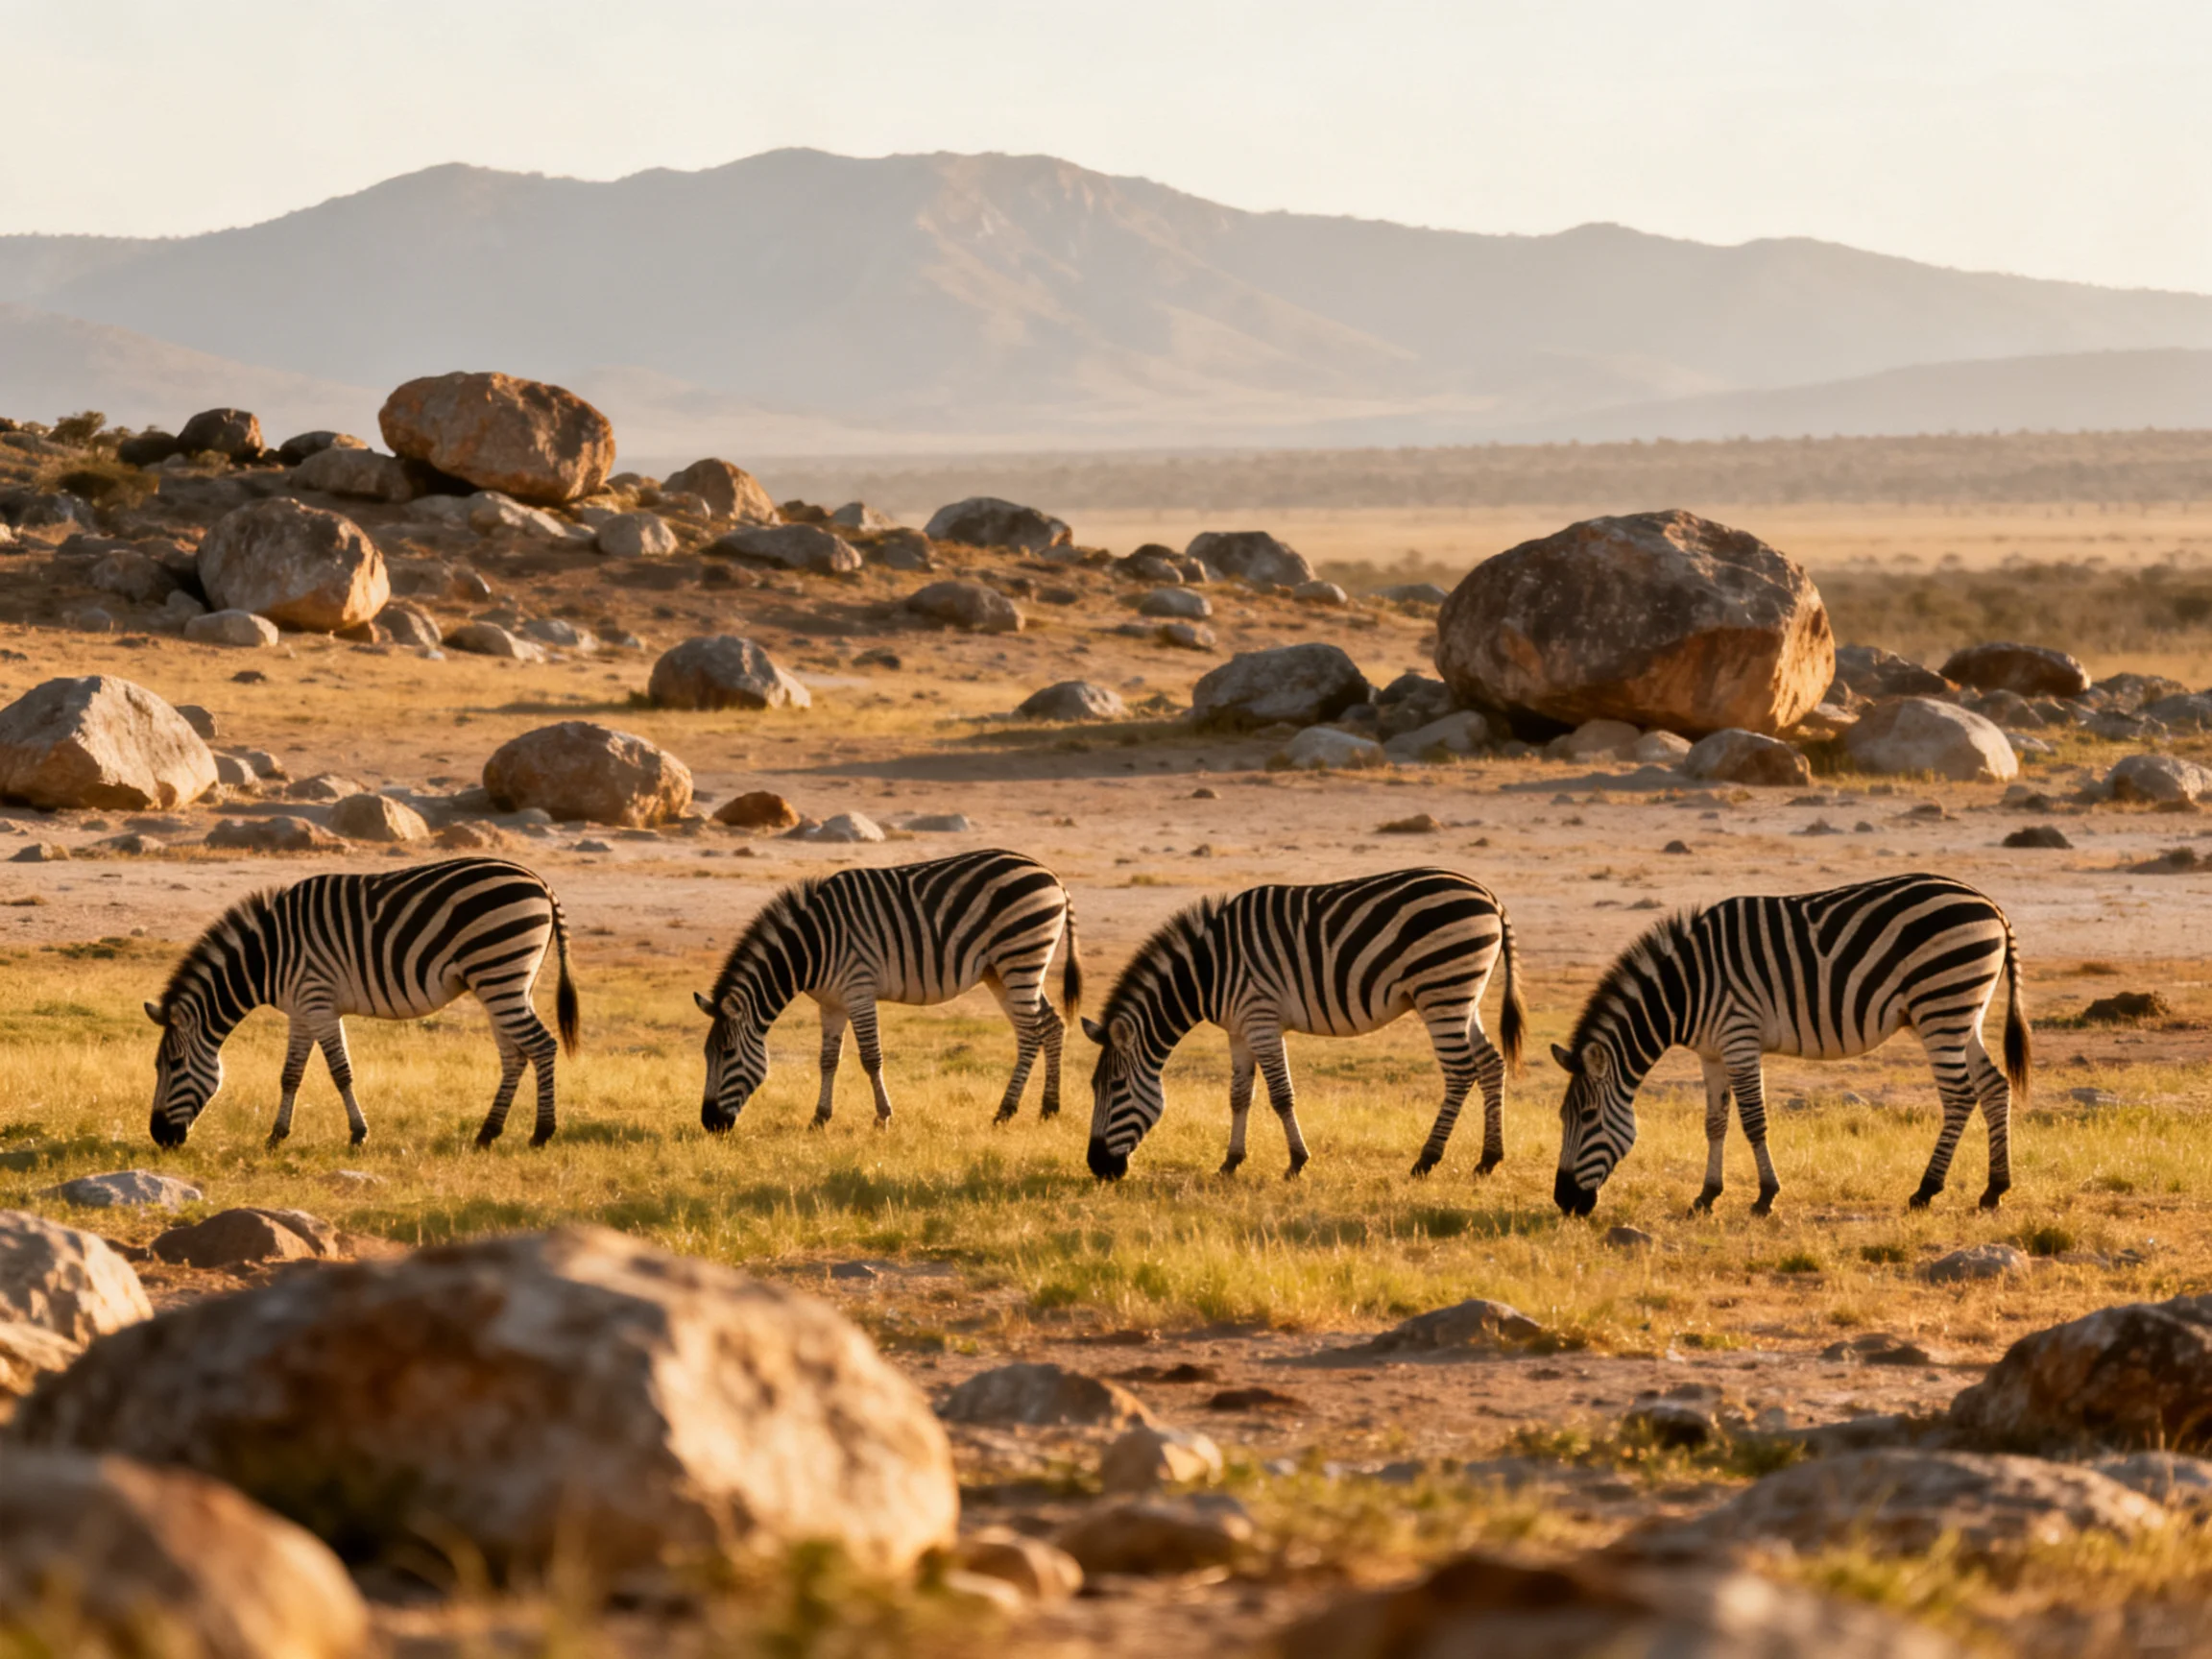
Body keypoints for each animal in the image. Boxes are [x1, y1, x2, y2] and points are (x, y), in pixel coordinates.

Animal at [145, 858, 579, 1151]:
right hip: (502, 983)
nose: (159, 1136)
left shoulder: (317, 1001)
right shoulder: (302, 1011)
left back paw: (541, 1133)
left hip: (499, 972)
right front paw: (277, 1135)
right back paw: (487, 1134)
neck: (267, 957)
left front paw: (358, 1134)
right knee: (515, 1056)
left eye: (175, 1064)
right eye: (159, 1066)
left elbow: (340, 1072)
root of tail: (539, 880)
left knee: (542, 1045)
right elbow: (290, 1075)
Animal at [693, 849, 1079, 1131]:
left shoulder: (859, 990)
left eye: (727, 1053)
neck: (813, 945)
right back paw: (1049, 1107)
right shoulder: (831, 1003)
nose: (710, 1124)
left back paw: (1006, 1111)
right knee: (1049, 1025)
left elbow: (870, 1057)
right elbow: (827, 1060)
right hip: (1001, 970)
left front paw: (883, 1117)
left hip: (1021, 957)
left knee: (1032, 1031)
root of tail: (1051, 874)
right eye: (707, 1055)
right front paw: (819, 1118)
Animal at [1084, 868, 1525, 1181]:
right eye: (1094, 1087)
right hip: (1463, 996)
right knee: (1490, 1064)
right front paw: (1230, 1162)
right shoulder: (1238, 1029)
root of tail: (1491, 898)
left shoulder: (1262, 1020)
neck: (1208, 971)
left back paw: (1427, 1159)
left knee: (1460, 1072)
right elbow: (1239, 1096)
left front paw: (1296, 1162)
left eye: (1116, 1087)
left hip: (1441, 991)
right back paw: (1489, 1159)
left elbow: (1281, 1095)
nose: (1097, 1167)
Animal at [1551, 872, 2030, 1218]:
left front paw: (1765, 1196)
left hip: (1941, 1006)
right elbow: (1715, 1123)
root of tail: (1991, 905)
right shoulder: (1712, 1052)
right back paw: (1994, 1189)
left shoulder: (1740, 1038)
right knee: (1994, 1086)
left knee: (1960, 1096)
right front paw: (1706, 1195)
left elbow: (1753, 1121)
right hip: (1963, 1012)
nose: (1563, 1201)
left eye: (1588, 1117)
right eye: (1563, 1118)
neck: (1686, 990)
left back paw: (1926, 1190)